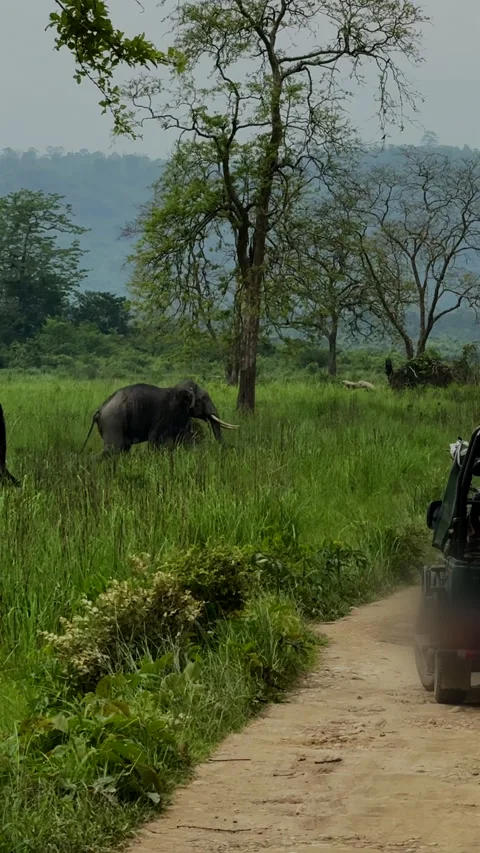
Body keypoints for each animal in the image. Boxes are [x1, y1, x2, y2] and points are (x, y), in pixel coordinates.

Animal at [81, 380, 239, 456]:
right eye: (203, 399)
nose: (228, 448)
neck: (176, 389)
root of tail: (99, 411)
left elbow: (186, 439)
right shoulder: (165, 415)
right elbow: (154, 440)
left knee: (122, 449)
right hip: (112, 422)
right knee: (113, 450)